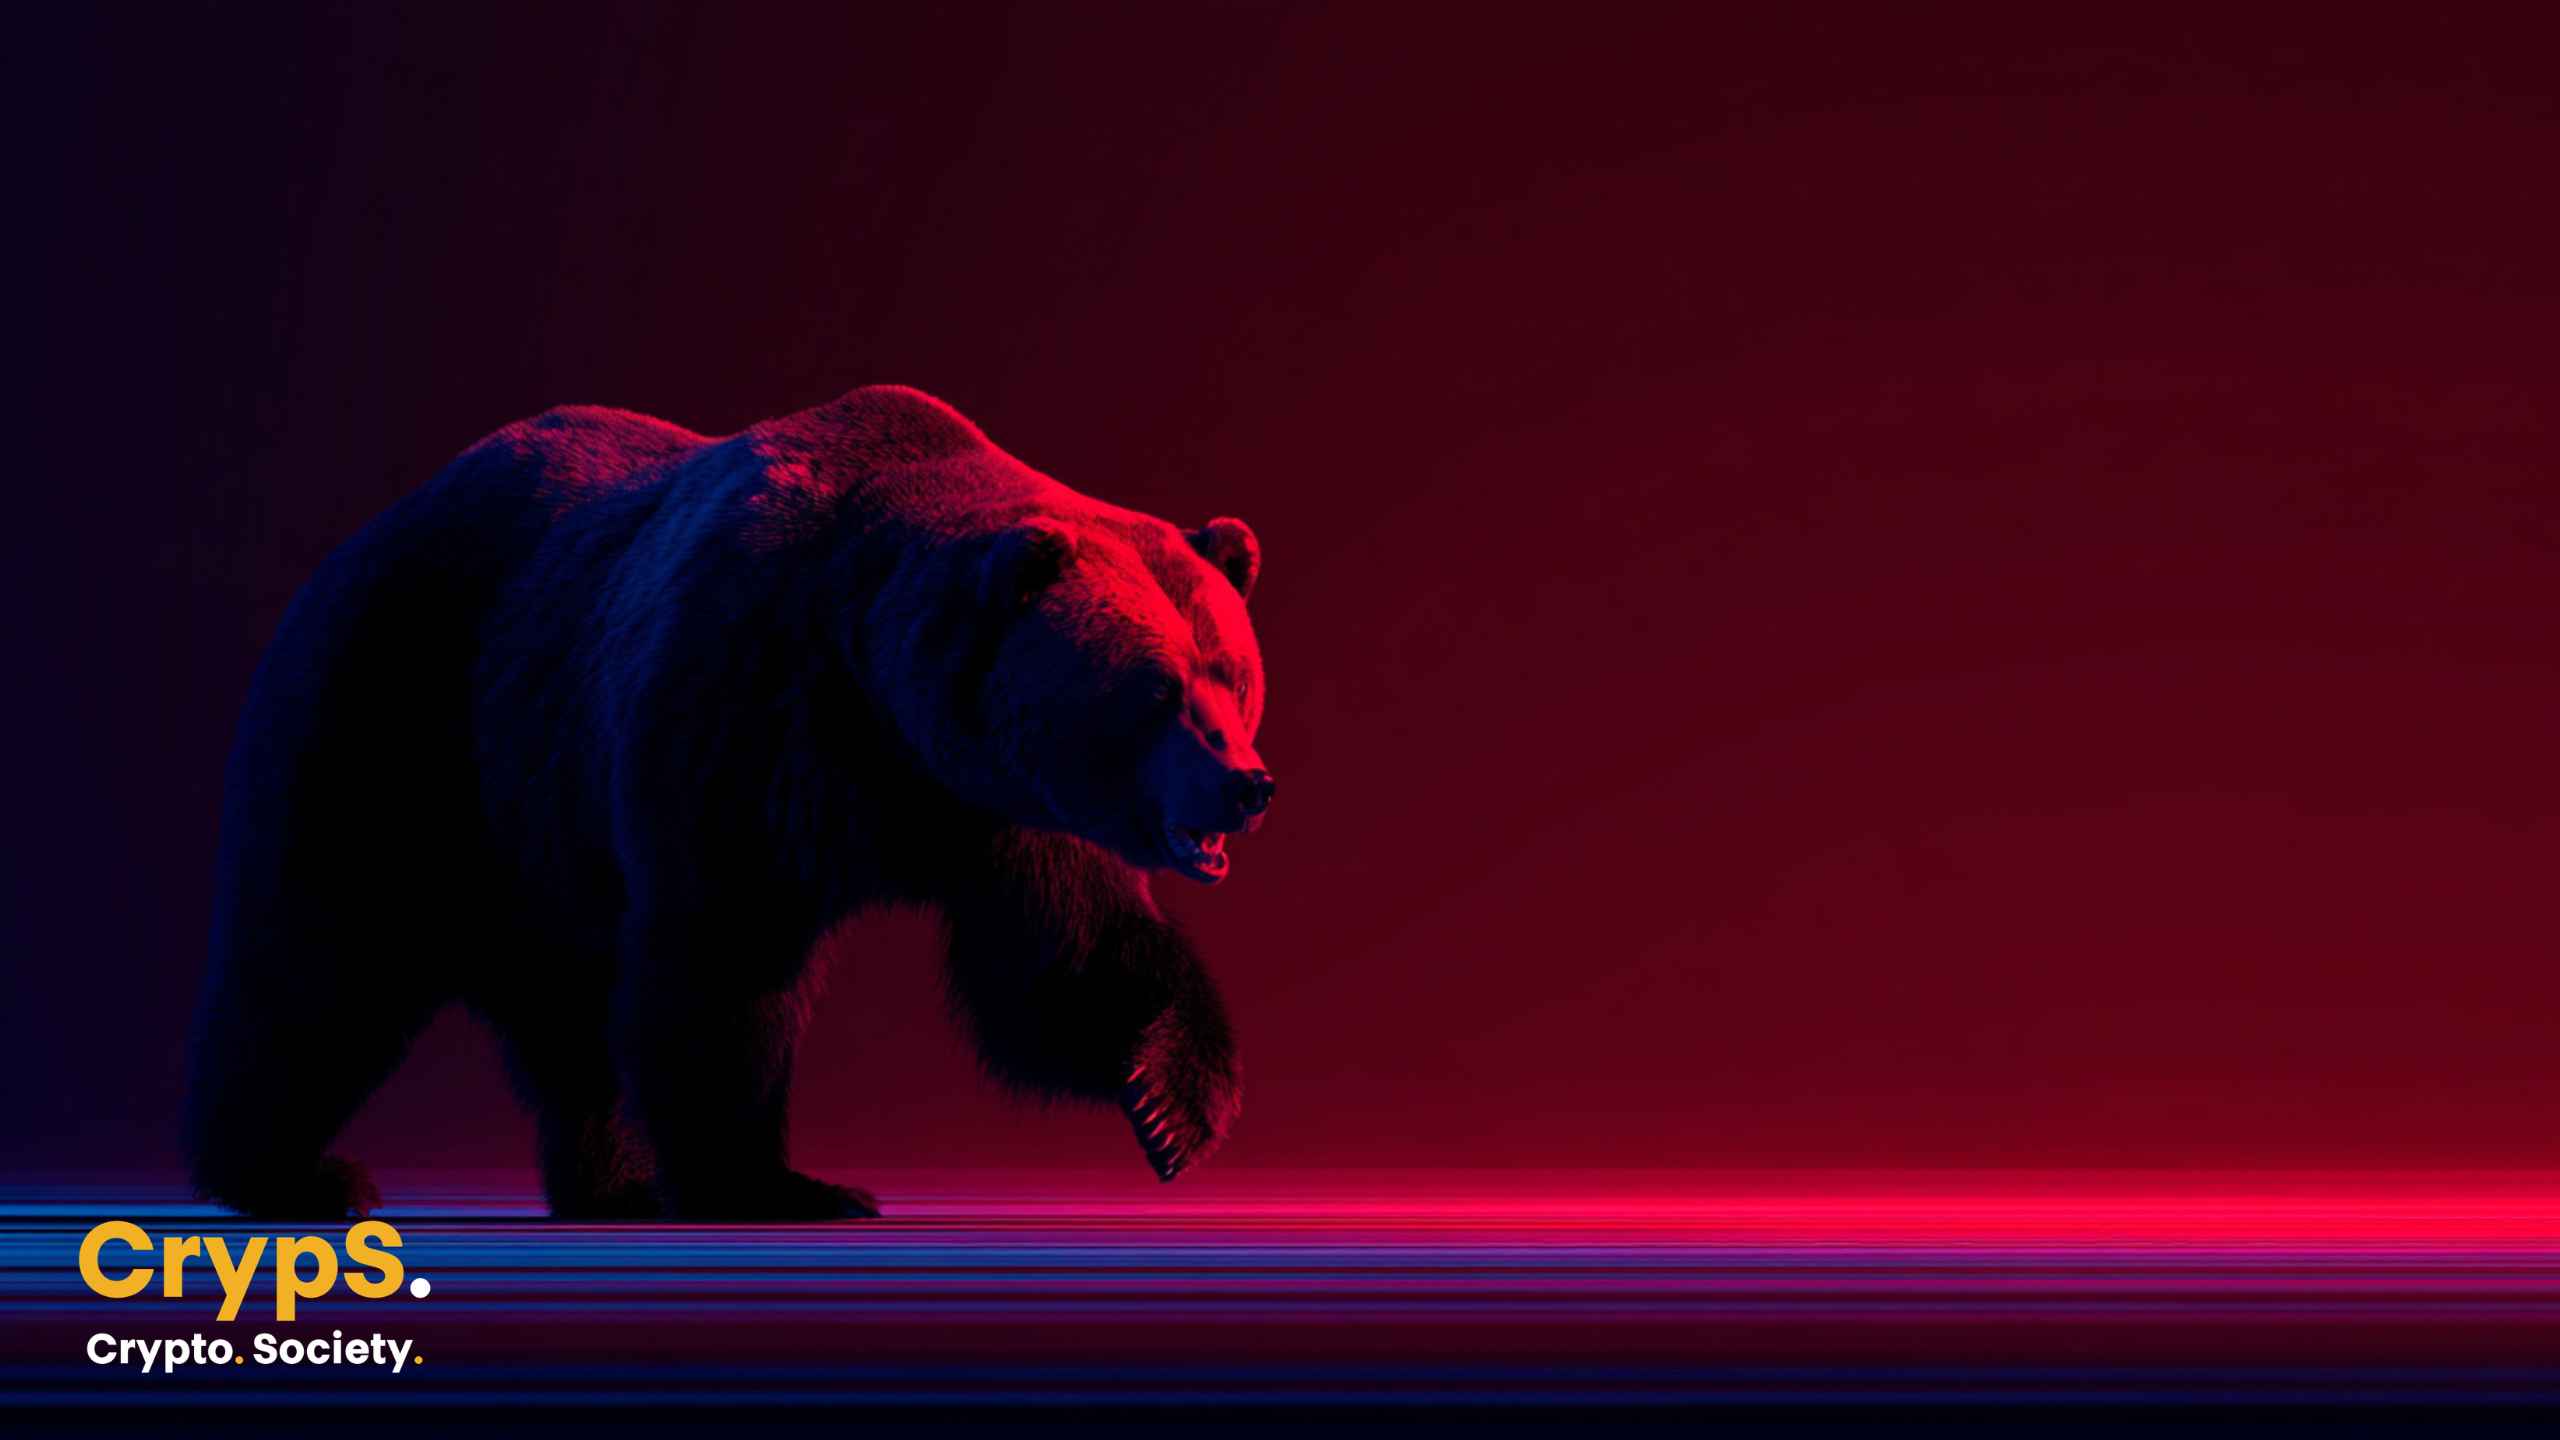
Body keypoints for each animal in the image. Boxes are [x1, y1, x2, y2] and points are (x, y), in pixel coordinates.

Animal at [183, 385, 1273, 1220]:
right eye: (1158, 690)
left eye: (1232, 672)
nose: (1246, 785)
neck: (877, 688)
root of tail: (375, 525)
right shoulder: (745, 709)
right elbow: (726, 956)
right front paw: (777, 1182)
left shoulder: (987, 801)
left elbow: (1066, 951)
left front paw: (1170, 1101)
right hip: (403, 715)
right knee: (321, 956)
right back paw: (290, 1174)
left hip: (539, 832)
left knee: (569, 1015)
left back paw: (612, 1185)